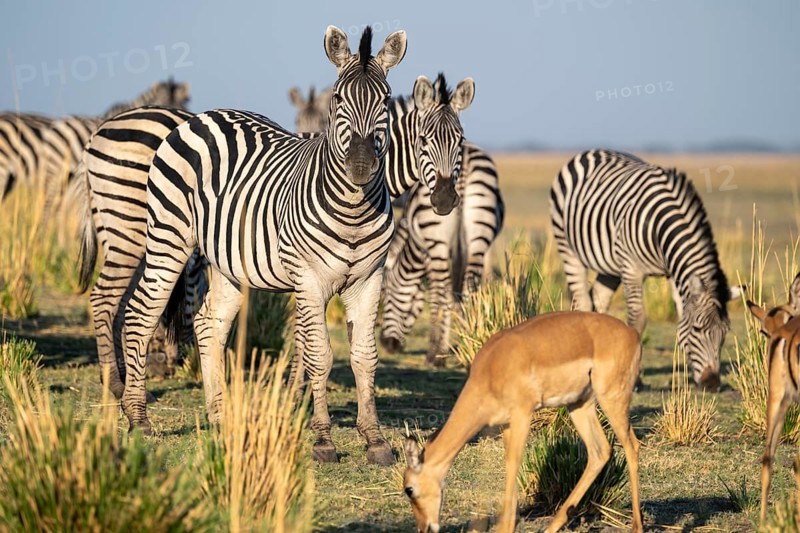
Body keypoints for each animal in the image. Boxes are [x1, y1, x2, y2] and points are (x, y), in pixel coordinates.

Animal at [117, 26, 445, 466]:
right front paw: (323, 440)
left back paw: (219, 416)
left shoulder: (369, 279)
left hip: (228, 262)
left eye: (385, 99)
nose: (361, 167)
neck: (354, 210)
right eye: (338, 99)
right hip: (168, 235)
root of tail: (201, 117)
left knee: (208, 323)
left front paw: (374, 439)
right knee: (140, 313)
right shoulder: (308, 279)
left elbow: (364, 356)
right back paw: (138, 418)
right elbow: (320, 354)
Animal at [379, 139, 504, 364]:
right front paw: (463, 338)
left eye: (387, 296)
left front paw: (439, 349)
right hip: (478, 238)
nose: (387, 344)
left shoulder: (427, 253)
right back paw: (473, 343)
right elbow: (455, 294)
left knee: (442, 288)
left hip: (437, 236)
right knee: (469, 287)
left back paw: (435, 353)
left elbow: (436, 293)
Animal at [549, 149, 741, 390]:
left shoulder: (674, 272)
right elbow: (637, 320)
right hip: (568, 248)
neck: (660, 229)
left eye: (724, 333)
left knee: (599, 300)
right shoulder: (632, 269)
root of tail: (591, 152)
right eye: (698, 329)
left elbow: (680, 316)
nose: (712, 384)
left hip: (610, 267)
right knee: (582, 300)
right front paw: (635, 379)